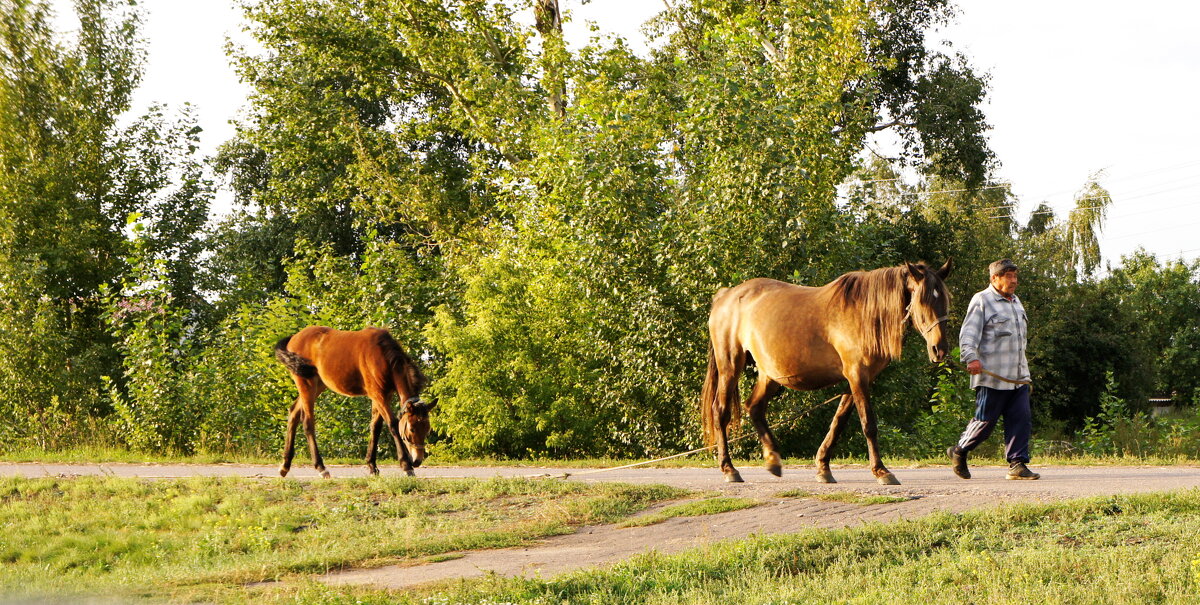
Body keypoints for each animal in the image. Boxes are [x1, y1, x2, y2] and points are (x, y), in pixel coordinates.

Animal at [274, 326, 434, 477]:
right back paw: (321, 467)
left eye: (427, 429)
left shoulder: (382, 396)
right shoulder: (378, 396)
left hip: (318, 385)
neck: (384, 356)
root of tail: (293, 337)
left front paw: (372, 465)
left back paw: (285, 465)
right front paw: (406, 466)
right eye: (412, 429)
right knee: (307, 423)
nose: (417, 460)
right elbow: (392, 424)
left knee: (294, 412)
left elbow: (375, 427)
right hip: (306, 384)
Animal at [700, 260, 950, 482]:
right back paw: (729, 468)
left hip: (769, 374)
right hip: (730, 365)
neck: (864, 313)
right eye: (923, 301)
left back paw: (773, 460)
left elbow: (838, 422)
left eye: (945, 301)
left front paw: (823, 467)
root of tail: (726, 296)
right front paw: (881, 471)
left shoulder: (856, 380)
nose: (939, 349)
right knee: (721, 412)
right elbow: (868, 424)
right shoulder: (857, 375)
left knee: (755, 407)